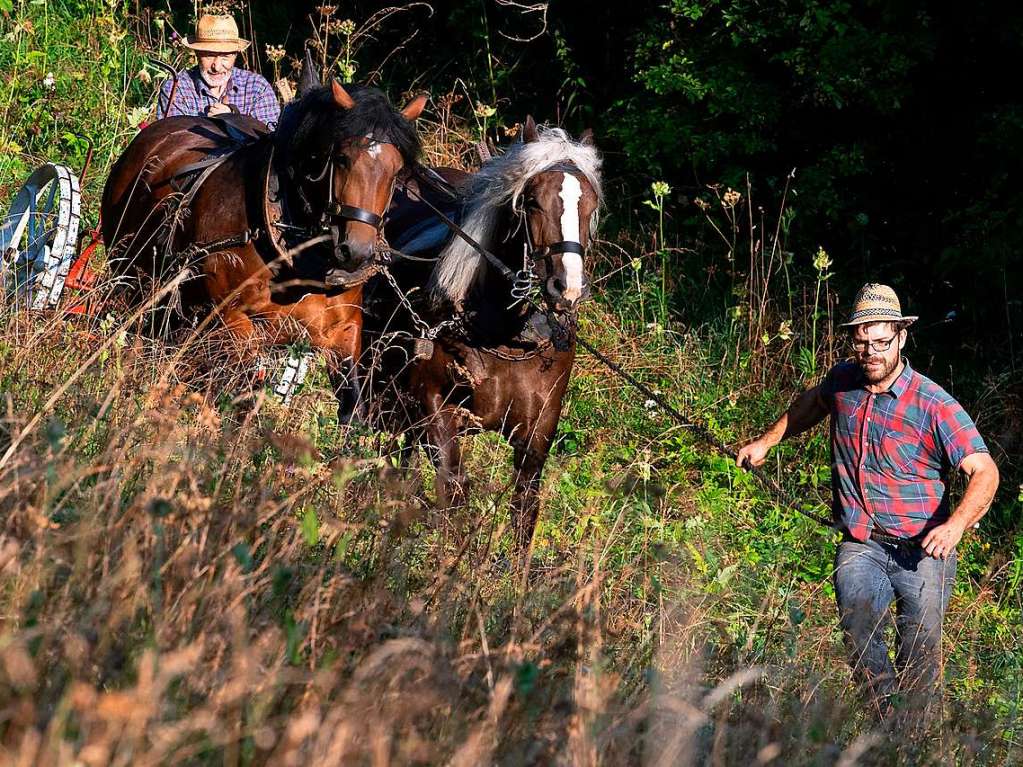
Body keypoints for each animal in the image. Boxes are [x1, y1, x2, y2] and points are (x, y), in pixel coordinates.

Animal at [98, 62, 423, 421]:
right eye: (342, 158)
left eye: (397, 171)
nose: (357, 251)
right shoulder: (231, 322)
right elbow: (242, 396)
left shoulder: (345, 331)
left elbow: (352, 407)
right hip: (129, 274)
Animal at [366, 120, 597, 548]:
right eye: (533, 202)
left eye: (589, 206)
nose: (567, 288)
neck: (505, 333)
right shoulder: (435, 408)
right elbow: (454, 491)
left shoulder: (538, 433)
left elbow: (525, 509)